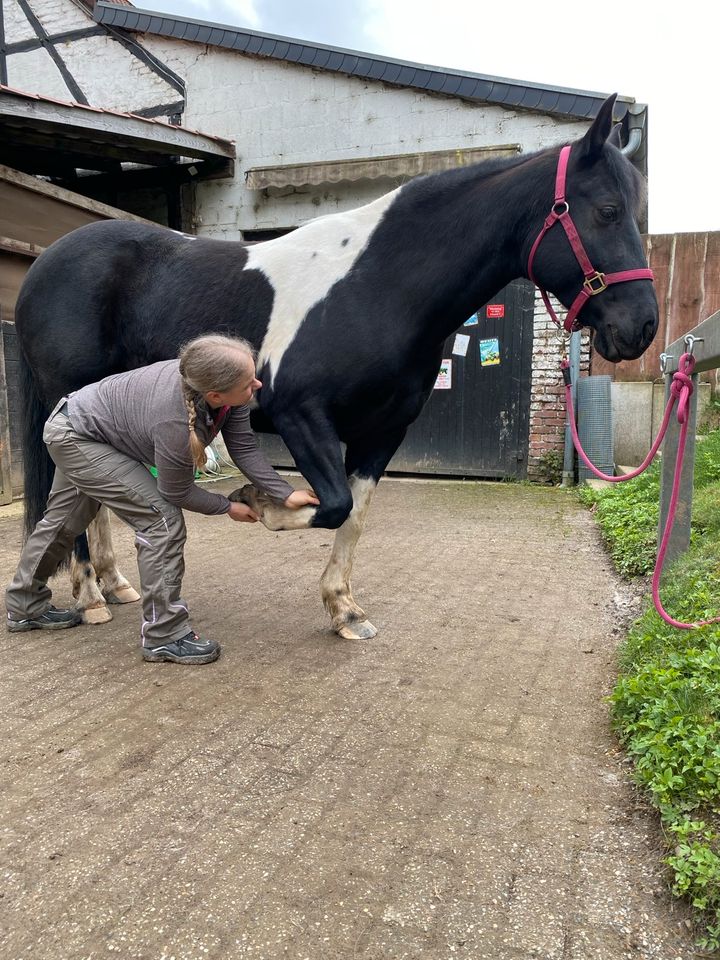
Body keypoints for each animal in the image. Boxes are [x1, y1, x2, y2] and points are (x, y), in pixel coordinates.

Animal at [15, 97, 660, 636]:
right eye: (607, 210)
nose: (642, 327)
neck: (378, 286)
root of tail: (45, 264)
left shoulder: (384, 431)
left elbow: (355, 513)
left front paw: (345, 609)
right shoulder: (301, 417)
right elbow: (330, 506)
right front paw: (262, 501)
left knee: (93, 499)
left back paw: (114, 586)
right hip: (72, 403)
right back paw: (89, 598)